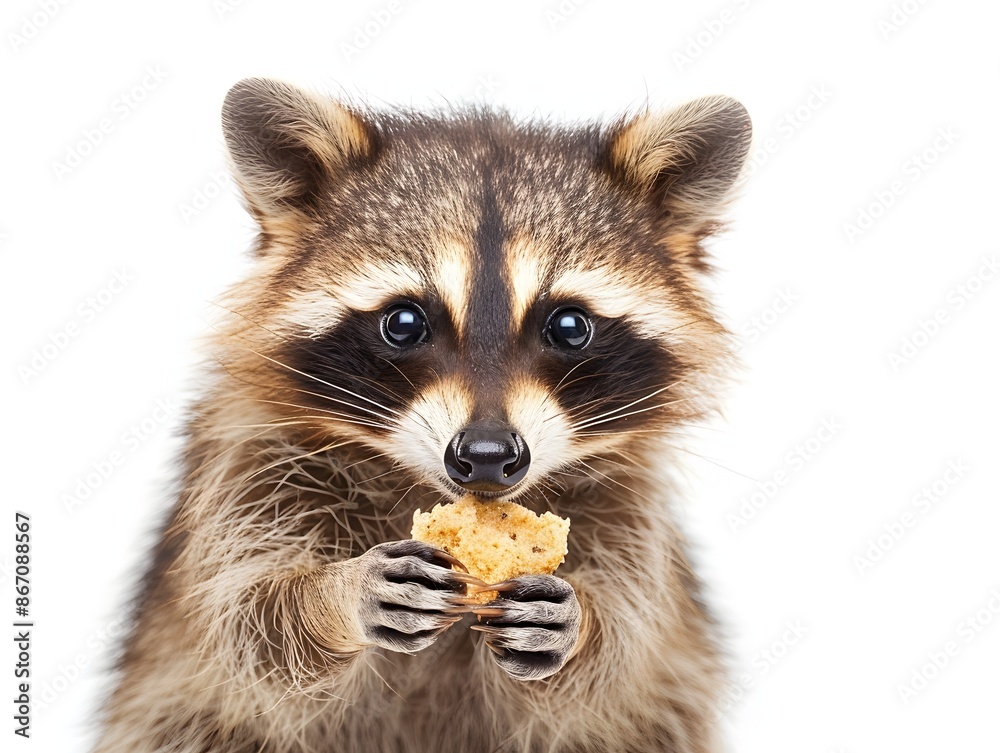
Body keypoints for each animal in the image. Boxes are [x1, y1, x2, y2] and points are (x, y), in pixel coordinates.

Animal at [93, 78, 751, 753]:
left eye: (569, 326)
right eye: (404, 323)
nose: (486, 457)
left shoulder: (630, 511)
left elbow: (613, 659)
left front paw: (582, 626)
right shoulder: (249, 466)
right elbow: (248, 626)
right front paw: (332, 595)